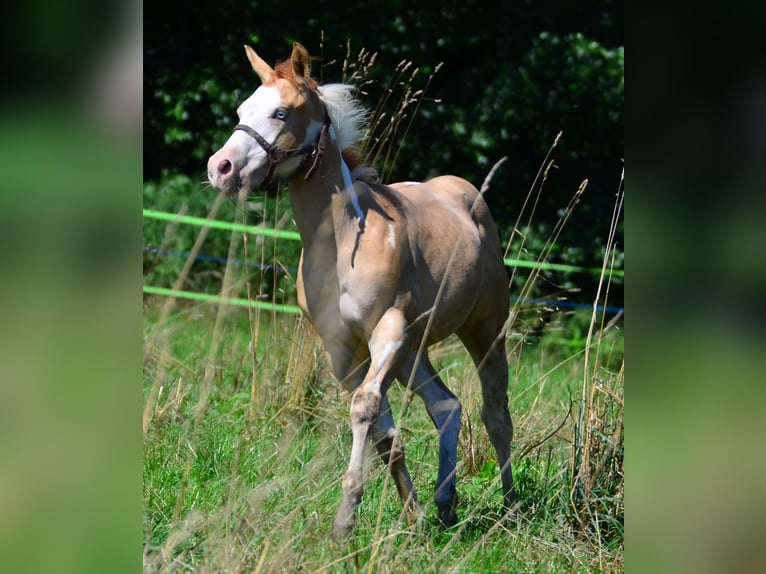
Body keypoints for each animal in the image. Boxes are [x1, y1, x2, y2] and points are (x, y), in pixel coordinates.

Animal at [207, 42, 515, 540]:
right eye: (241, 111)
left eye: (280, 112)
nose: (221, 168)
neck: (344, 241)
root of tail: (468, 194)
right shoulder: (344, 350)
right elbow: (385, 435)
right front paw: (410, 516)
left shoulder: (386, 332)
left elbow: (365, 409)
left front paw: (345, 515)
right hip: (414, 349)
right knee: (446, 406)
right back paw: (445, 504)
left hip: (483, 331)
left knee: (496, 413)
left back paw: (509, 506)